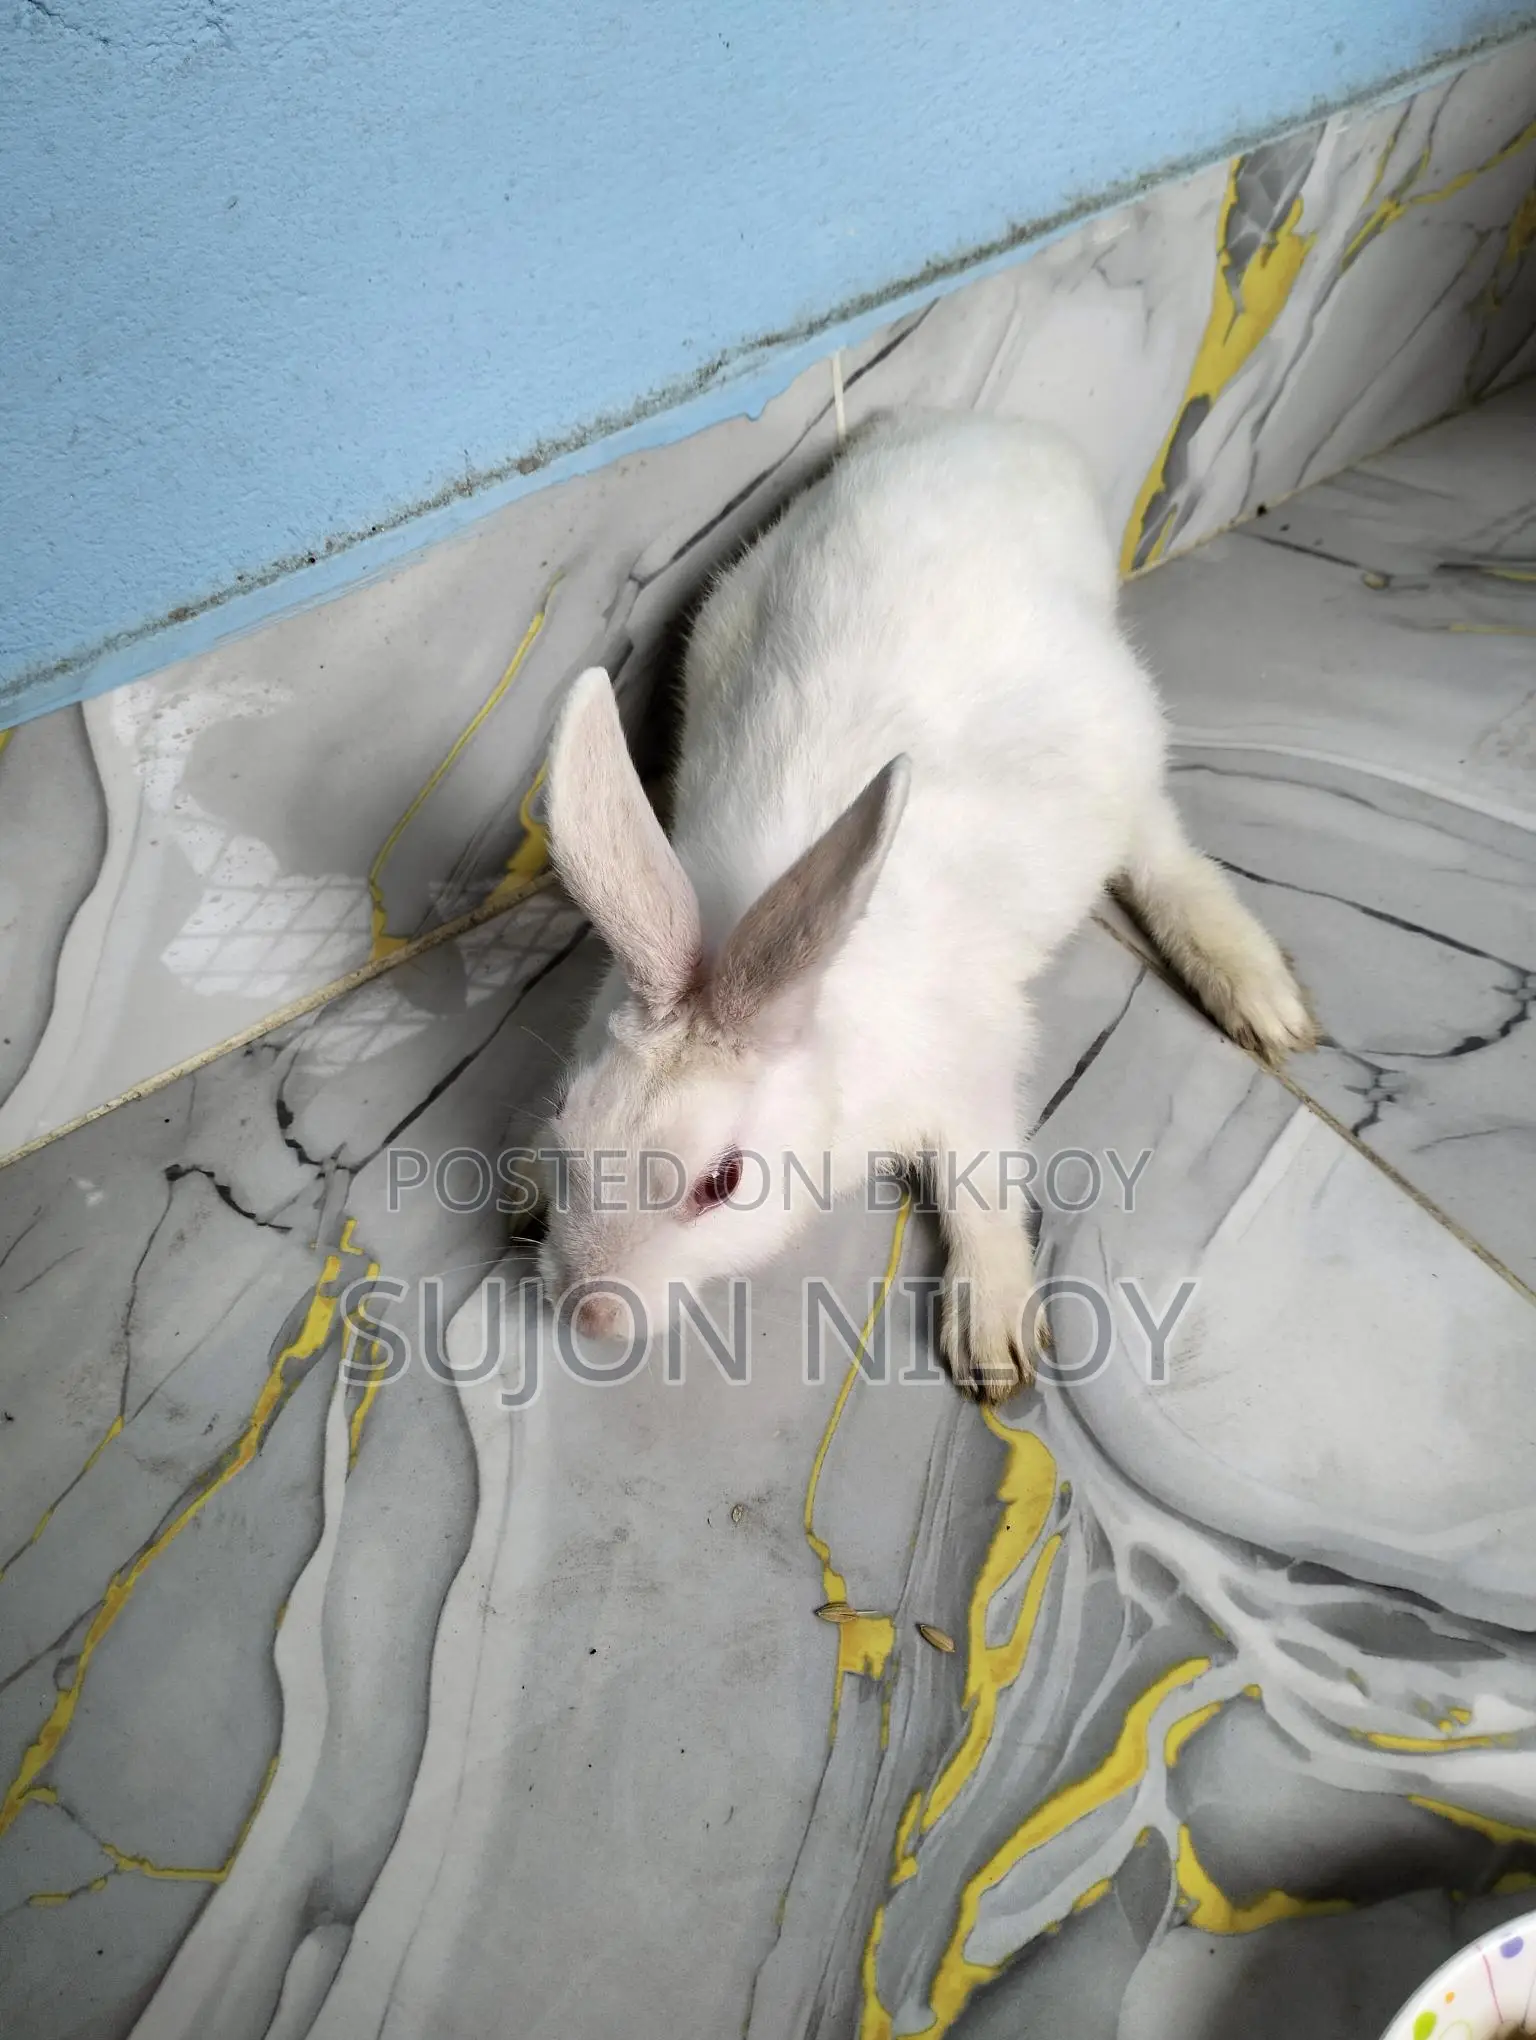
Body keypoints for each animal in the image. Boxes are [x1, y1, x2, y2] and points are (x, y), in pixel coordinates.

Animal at [533, 408, 1315, 1401]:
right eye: (567, 1115)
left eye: (723, 1182)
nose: (585, 1313)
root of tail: (987, 431)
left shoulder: (972, 1068)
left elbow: (982, 1181)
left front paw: (993, 1338)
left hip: (1124, 744)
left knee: (1162, 852)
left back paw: (1258, 994)